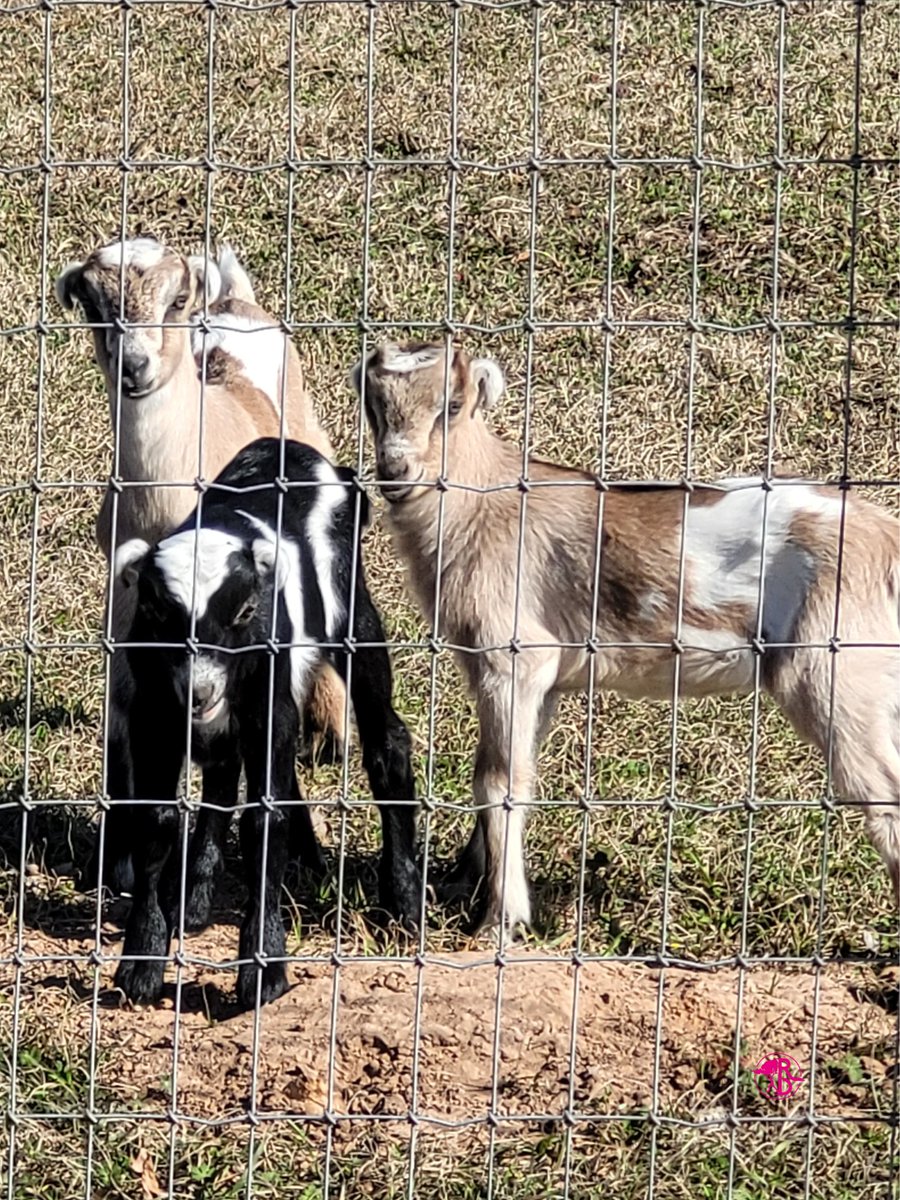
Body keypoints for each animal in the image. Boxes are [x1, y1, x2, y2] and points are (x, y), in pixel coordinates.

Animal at [55, 239, 347, 906]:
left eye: (176, 301)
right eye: (92, 307)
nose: (135, 368)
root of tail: (233, 300)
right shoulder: (127, 602)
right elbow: (123, 718)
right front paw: (115, 866)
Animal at [112, 436, 421, 1008]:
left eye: (245, 611)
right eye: (156, 612)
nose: (201, 691)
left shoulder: (268, 701)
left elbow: (263, 820)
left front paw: (264, 971)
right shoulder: (153, 713)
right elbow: (157, 819)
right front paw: (141, 963)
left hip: (353, 618)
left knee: (386, 741)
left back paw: (405, 904)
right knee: (222, 774)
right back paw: (194, 902)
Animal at [355, 340, 900, 938]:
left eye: (451, 406)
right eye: (373, 405)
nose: (395, 470)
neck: (483, 506)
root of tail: (888, 543)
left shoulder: (514, 657)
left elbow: (497, 781)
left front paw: (499, 921)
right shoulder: (540, 680)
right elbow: (514, 767)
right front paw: (460, 883)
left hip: (834, 673)